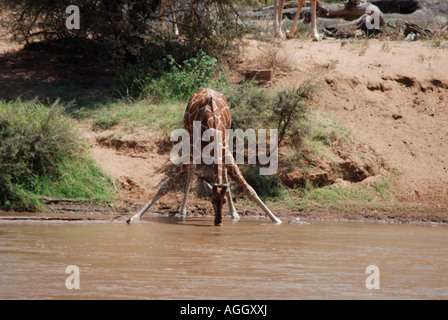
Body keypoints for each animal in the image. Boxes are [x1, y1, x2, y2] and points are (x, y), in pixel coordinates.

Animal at [126, 88, 282, 225]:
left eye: (223, 201)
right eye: (211, 200)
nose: (218, 222)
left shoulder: (225, 151)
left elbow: (248, 188)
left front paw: (276, 220)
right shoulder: (194, 149)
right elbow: (165, 186)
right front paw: (134, 217)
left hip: (228, 136)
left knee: (223, 171)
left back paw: (234, 213)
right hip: (188, 134)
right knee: (192, 169)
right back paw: (182, 212)